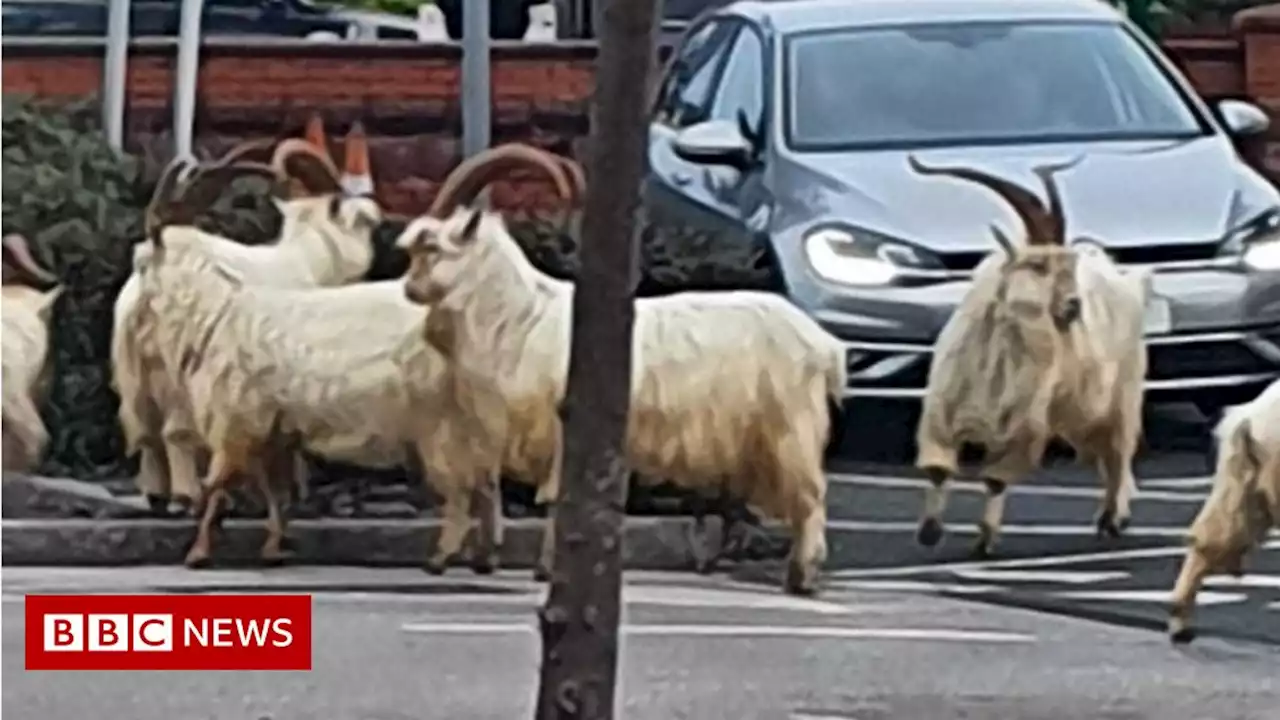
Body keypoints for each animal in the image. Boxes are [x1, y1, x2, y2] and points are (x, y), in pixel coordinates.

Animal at [112, 134, 381, 512]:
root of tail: (155, 259)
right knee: (175, 432)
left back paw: (156, 494)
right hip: (177, 366)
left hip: (134, 369)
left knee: (144, 432)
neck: (308, 260)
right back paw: (186, 496)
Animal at [394, 144, 844, 594]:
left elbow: (557, 497)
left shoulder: (563, 431)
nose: (409, 290)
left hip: (791, 429)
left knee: (811, 497)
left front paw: (546, 569)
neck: (522, 316)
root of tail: (823, 344)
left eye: (432, 247)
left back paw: (802, 576)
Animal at [911, 154, 1152, 558]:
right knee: (1102, 455)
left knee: (1118, 454)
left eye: (1068, 268)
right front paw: (929, 531)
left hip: (1123, 395)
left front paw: (985, 539)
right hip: (1078, 416)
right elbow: (938, 469)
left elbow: (995, 479)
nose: (1073, 307)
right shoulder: (941, 414)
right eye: (1038, 266)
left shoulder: (1024, 428)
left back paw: (1112, 518)